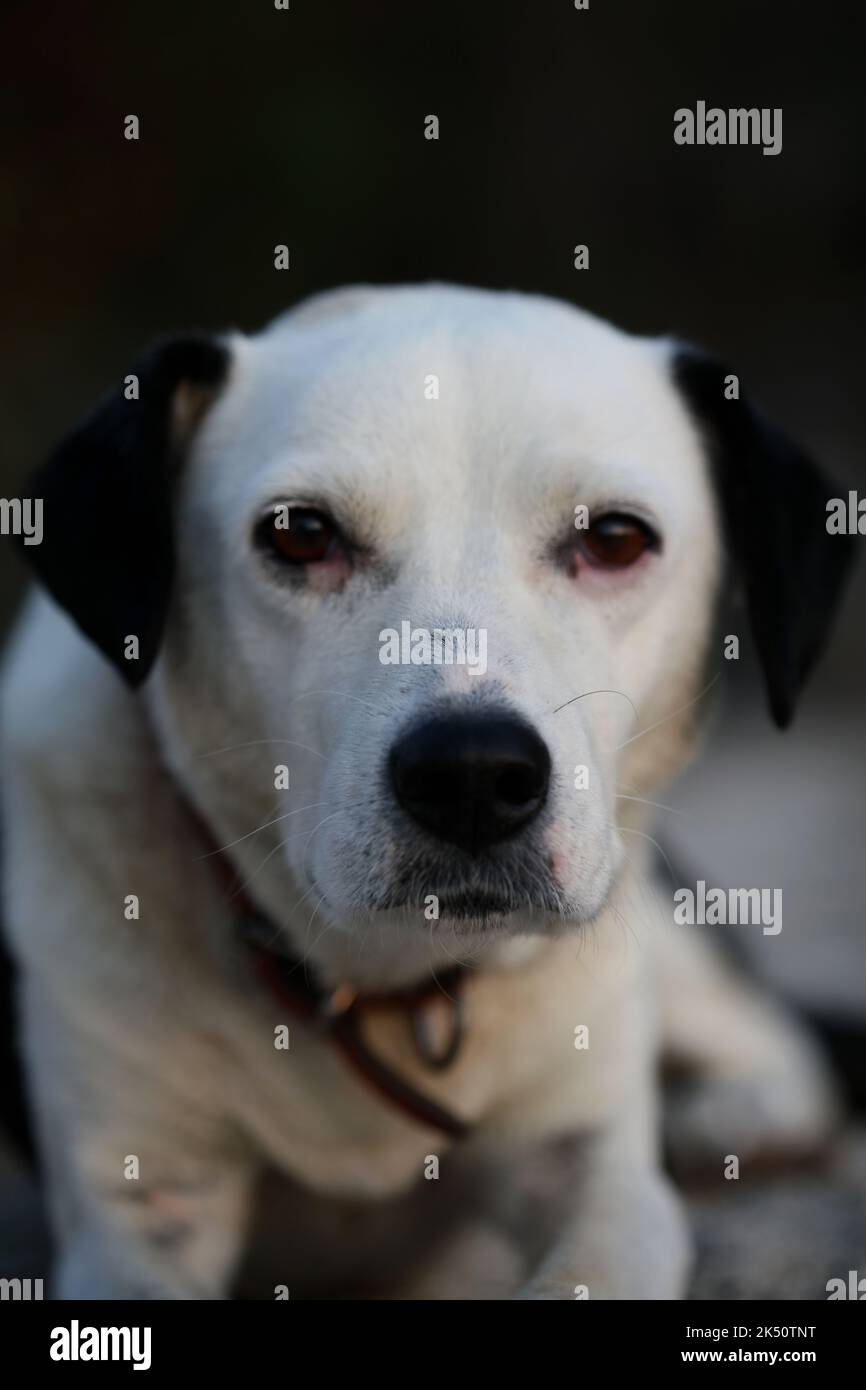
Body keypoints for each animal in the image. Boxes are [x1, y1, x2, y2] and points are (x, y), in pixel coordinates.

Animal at [0, 287, 856, 1295]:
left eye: (613, 538)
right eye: (299, 533)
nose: (473, 775)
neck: (384, 984)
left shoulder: (595, 1166)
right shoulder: (139, 1202)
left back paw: (737, 1116)